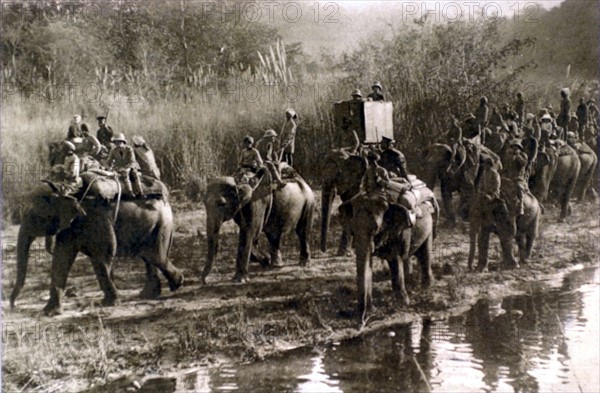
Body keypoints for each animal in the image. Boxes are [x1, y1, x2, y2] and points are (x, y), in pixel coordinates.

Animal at [344, 188, 438, 320]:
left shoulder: (399, 230)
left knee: (425, 254)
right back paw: (409, 284)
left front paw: (403, 303)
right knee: (409, 256)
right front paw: (372, 310)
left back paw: (427, 286)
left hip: (429, 226)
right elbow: (368, 262)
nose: (363, 318)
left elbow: (395, 258)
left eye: (375, 228)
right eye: (352, 230)